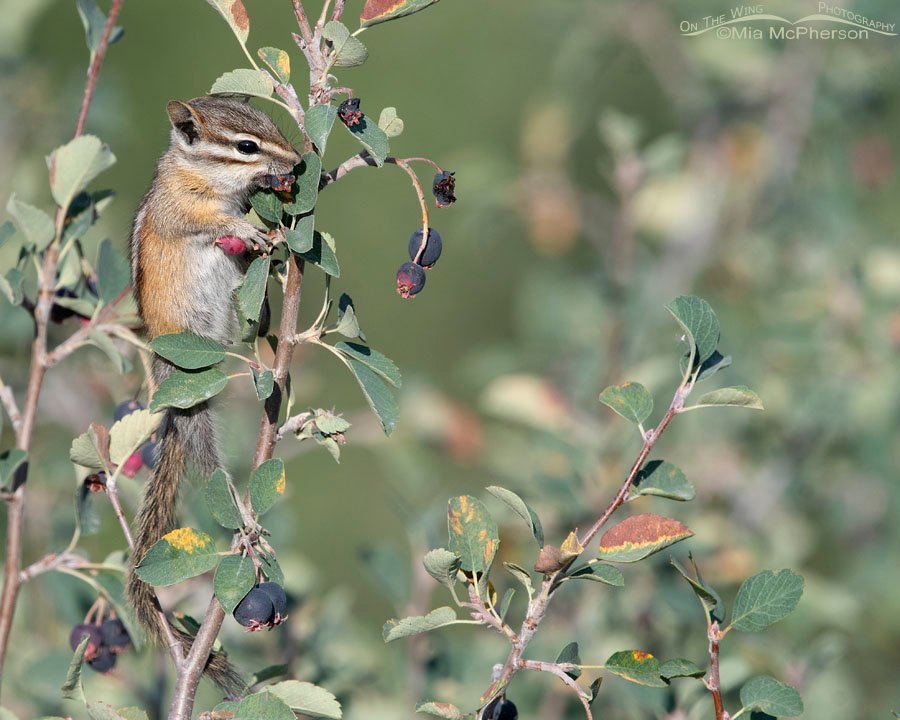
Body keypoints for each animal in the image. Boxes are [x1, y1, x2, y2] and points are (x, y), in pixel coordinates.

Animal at [127, 96, 300, 697]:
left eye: (273, 126)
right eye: (246, 146)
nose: (298, 162)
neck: (202, 173)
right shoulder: (182, 208)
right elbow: (206, 222)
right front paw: (246, 227)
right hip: (194, 397)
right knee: (207, 465)